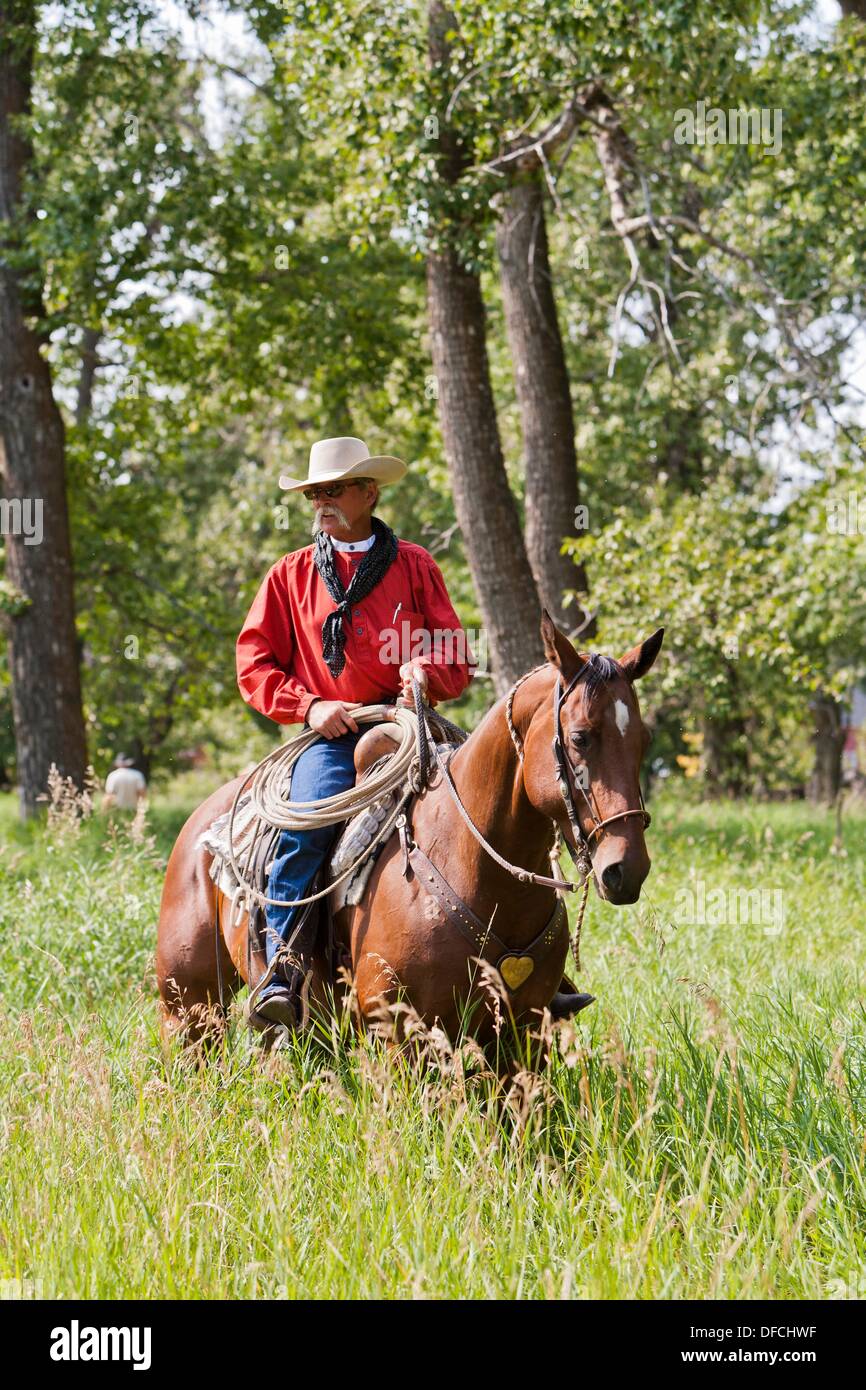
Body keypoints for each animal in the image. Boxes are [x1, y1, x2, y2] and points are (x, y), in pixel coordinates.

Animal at [156, 612, 663, 1055]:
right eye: (580, 737)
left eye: (644, 741)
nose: (626, 869)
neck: (477, 869)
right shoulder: (402, 1034)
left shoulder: (522, 1035)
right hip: (188, 1007)